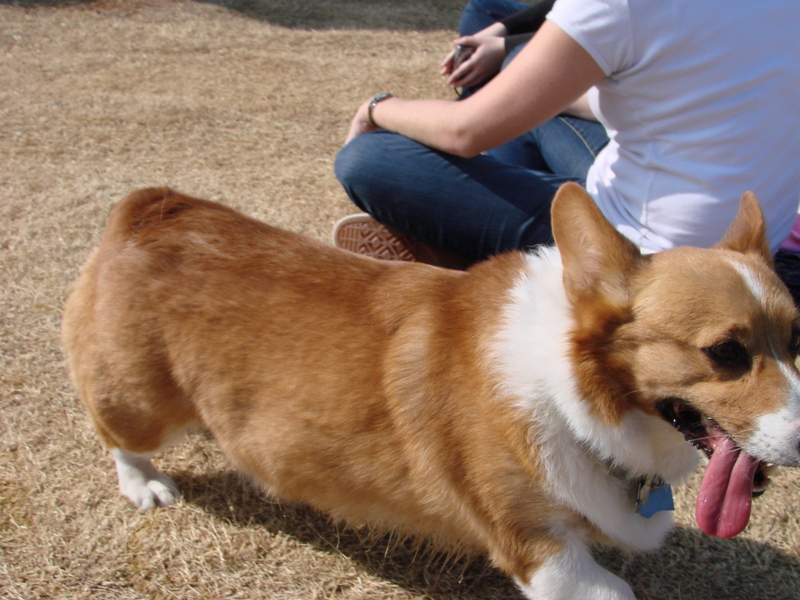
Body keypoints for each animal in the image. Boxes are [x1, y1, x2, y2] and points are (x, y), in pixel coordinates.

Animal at [62, 185, 800, 596]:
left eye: (796, 338)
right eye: (726, 353)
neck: (573, 394)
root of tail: (152, 208)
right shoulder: (541, 549)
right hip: (143, 404)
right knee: (115, 433)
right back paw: (145, 484)